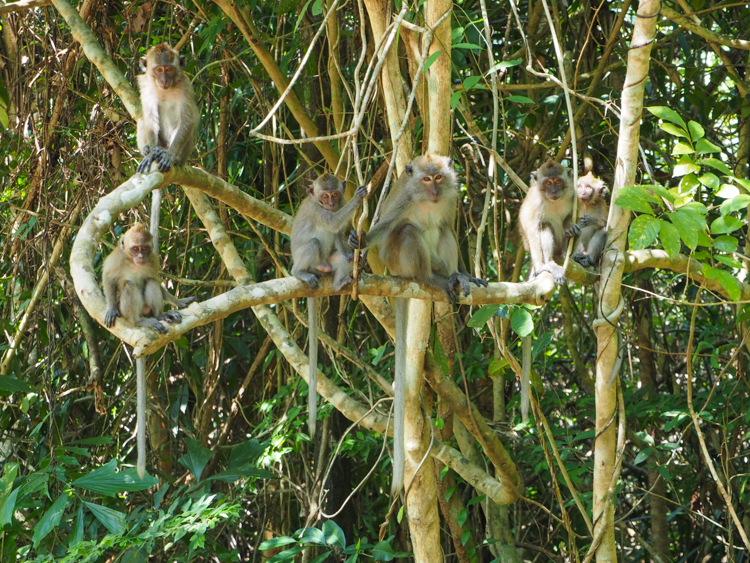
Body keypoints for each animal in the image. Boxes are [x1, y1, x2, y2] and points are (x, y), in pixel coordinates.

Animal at [102, 223, 197, 477]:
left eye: (144, 248)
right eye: (135, 249)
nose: (141, 257)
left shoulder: (154, 258)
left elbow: (155, 278)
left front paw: (178, 301)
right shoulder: (116, 260)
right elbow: (109, 281)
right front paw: (110, 308)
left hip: (149, 305)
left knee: (151, 283)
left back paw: (161, 315)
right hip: (130, 313)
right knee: (129, 285)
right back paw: (141, 321)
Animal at [291, 174, 368, 437]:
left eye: (334, 195)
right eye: (324, 197)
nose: (331, 203)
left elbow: (338, 234)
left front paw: (353, 243)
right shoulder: (317, 210)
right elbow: (332, 223)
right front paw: (358, 198)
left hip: (329, 264)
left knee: (336, 257)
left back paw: (341, 279)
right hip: (306, 260)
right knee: (314, 242)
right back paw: (300, 273)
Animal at [348, 154, 487, 495]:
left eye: (438, 178)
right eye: (426, 180)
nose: (435, 191)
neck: (427, 199)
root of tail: (398, 275)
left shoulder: (451, 198)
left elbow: (449, 225)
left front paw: (466, 272)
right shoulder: (406, 200)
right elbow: (385, 227)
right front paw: (358, 241)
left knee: (443, 231)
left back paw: (454, 277)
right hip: (400, 261)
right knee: (409, 231)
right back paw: (429, 280)